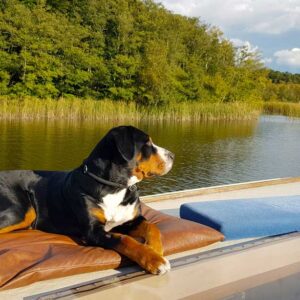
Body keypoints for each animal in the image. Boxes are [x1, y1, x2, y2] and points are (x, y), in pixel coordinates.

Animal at [0, 126, 175, 274]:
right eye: (147, 143)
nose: (172, 155)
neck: (114, 188)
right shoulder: (93, 231)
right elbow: (125, 239)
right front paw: (155, 260)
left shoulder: (130, 220)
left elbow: (152, 226)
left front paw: (156, 250)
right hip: (21, 212)